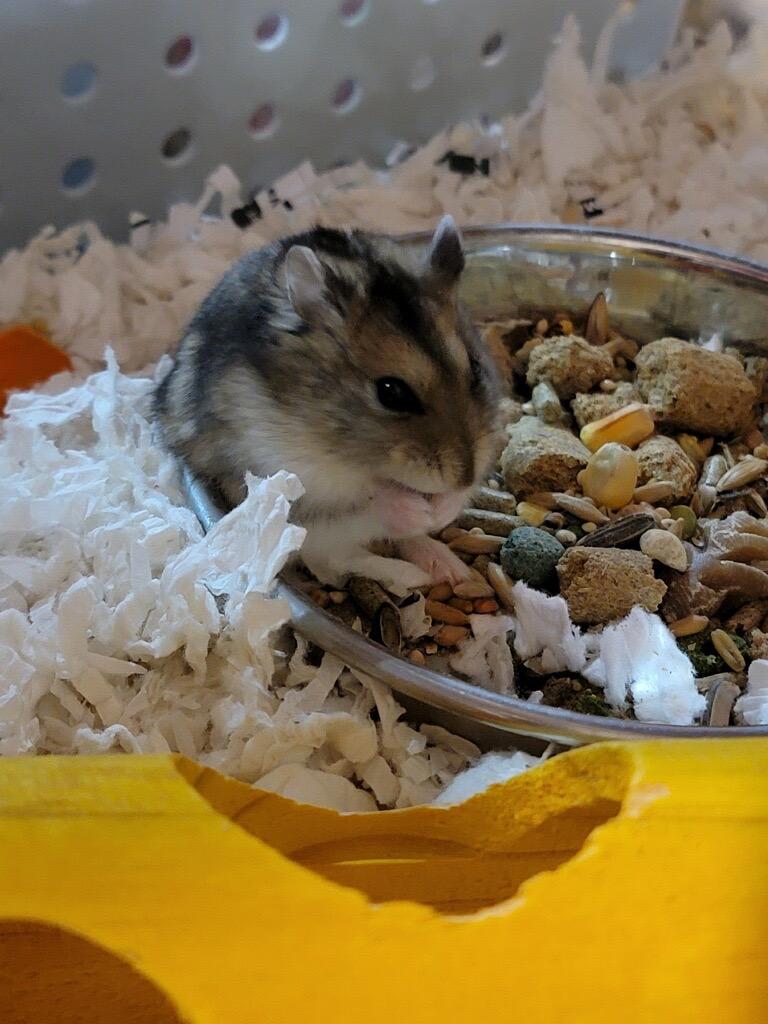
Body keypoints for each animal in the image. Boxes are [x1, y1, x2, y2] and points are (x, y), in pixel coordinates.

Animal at [154, 217, 503, 592]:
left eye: (475, 369)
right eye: (391, 392)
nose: (464, 478)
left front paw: (442, 510)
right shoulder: (290, 472)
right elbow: (368, 500)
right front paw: (421, 512)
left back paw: (449, 567)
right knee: (340, 560)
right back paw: (415, 574)